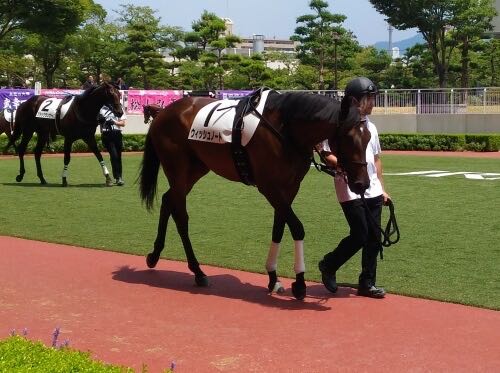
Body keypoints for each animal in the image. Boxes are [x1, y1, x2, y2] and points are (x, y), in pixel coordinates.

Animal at [138, 89, 372, 300]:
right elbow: (297, 228)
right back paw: (197, 271)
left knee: (168, 200)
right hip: (177, 169)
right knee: (180, 215)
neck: (286, 128)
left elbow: (279, 228)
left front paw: (273, 277)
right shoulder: (269, 187)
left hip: (196, 169)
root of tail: (162, 112)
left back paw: (154, 255)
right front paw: (299, 283)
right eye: (349, 138)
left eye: (369, 137)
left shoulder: (290, 188)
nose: (362, 184)